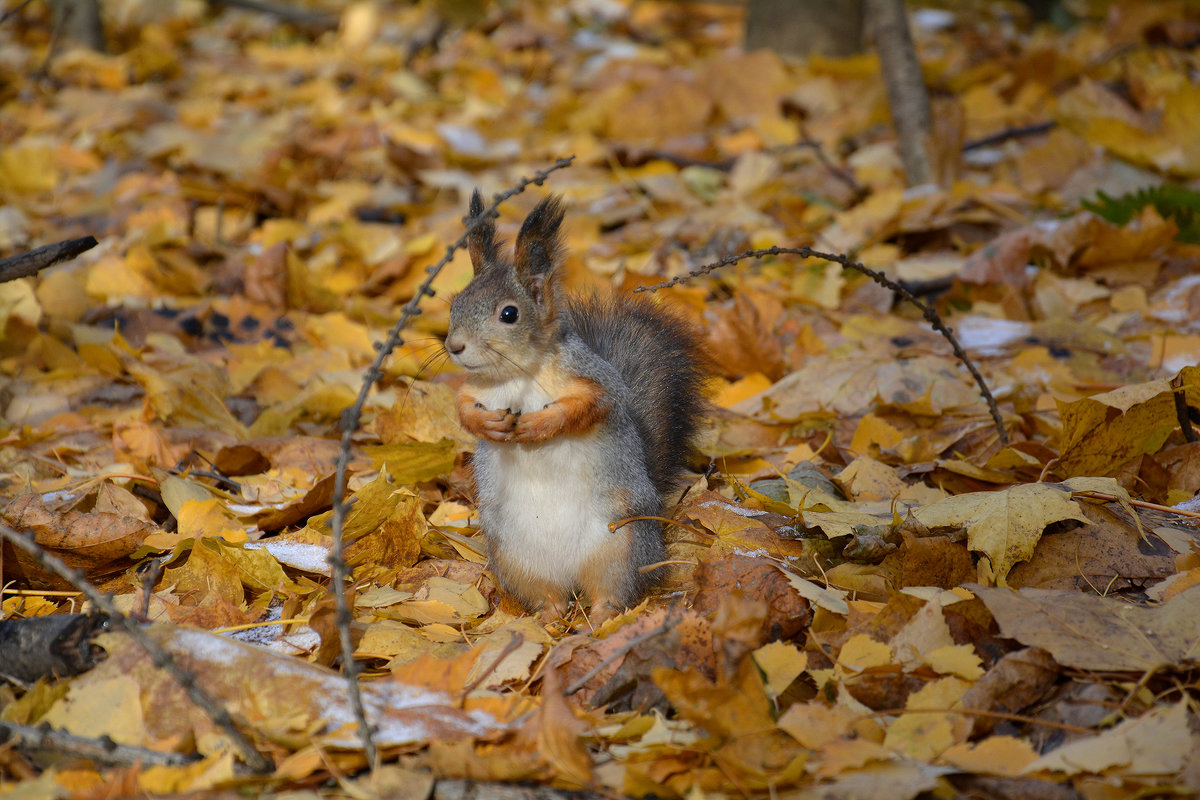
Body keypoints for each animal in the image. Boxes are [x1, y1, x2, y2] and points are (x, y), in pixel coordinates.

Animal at [448, 190, 710, 623]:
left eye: (509, 314)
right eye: (454, 303)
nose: (454, 347)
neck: (516, 375)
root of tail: (570, 574)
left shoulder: (596, 381)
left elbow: (587, 406)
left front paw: (539, 425)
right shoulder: (475, 389)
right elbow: (463, 408)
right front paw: (487, 427)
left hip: (620, 545)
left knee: (613, 591)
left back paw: (601, 619)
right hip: (515, 558)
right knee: (548, 596)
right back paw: (547, 618)